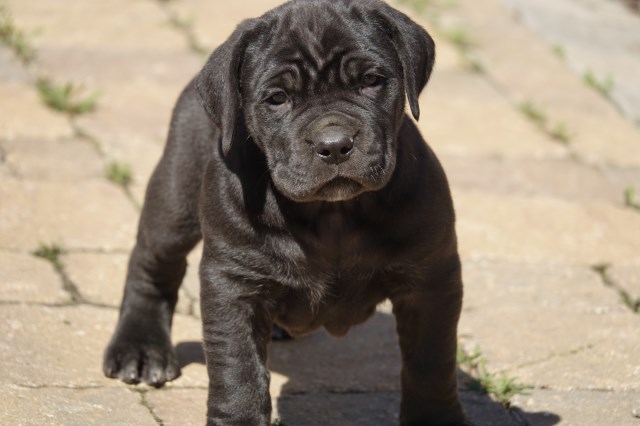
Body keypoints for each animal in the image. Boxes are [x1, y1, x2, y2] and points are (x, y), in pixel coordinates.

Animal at [102, 0, 468, 426]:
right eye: (277, 98)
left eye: (372, 81)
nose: (334, 144)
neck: (333, 214)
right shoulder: (234, 283)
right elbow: (238, 369)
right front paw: (240, 419)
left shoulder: (432, 279)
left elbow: (431, 363)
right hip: (176, 193)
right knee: (153, 261)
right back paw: (140, 349)